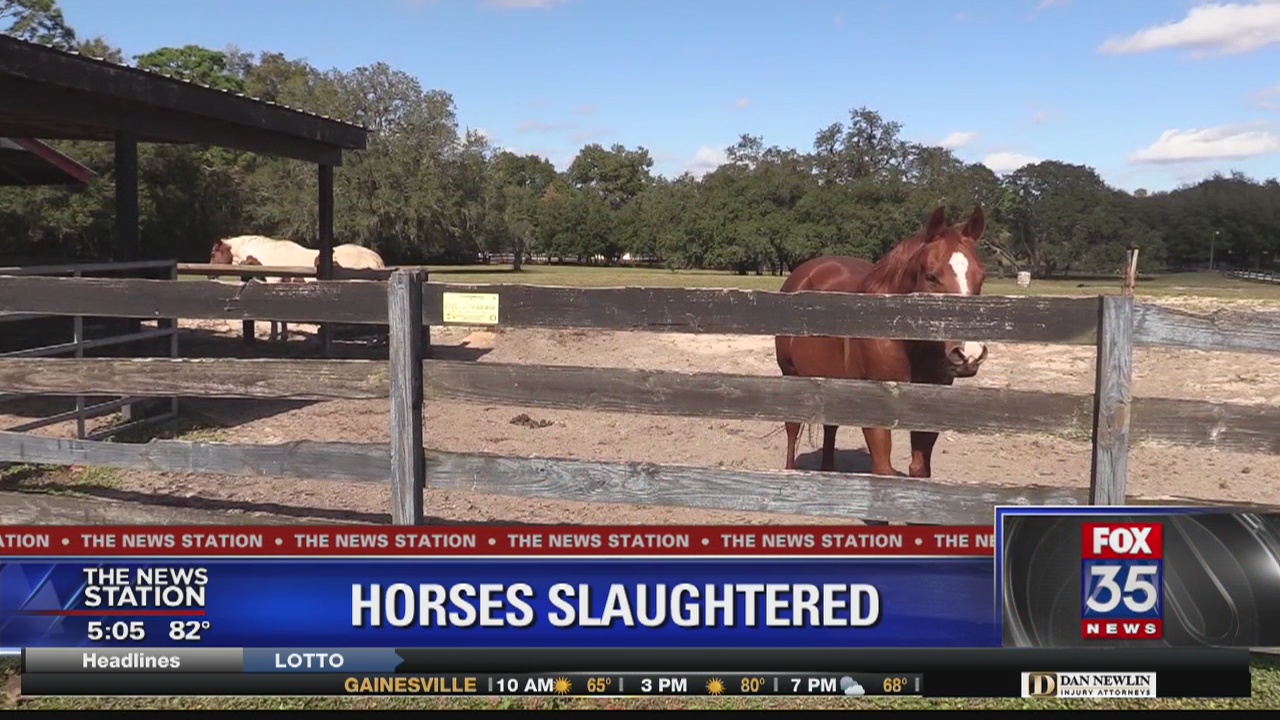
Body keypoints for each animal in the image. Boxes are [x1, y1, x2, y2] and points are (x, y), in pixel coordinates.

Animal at [774, 204, 989, 479]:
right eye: (932, 276)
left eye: (981, 277)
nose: (968, 354)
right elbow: (883, 470)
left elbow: (919, 469)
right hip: (790, 373)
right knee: (792, 429)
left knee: (831, 427)